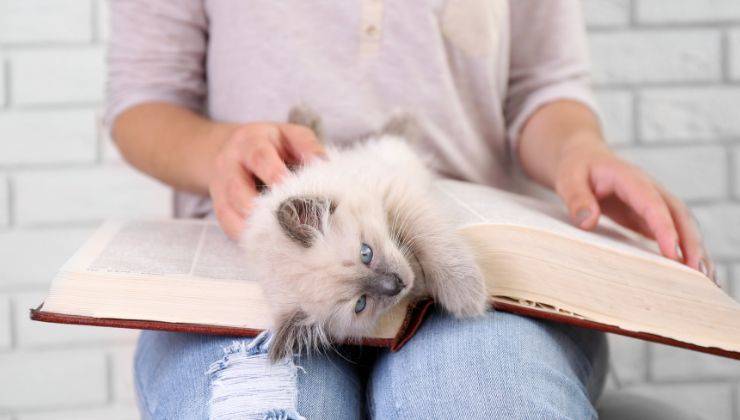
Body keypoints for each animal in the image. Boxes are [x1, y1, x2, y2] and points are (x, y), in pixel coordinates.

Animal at [240, 107, 488, 360]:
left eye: (365, 253)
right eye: (361, 304)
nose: (396, 285)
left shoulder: (394, 192)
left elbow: (434, 242)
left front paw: (467, 296)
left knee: (394, 136)